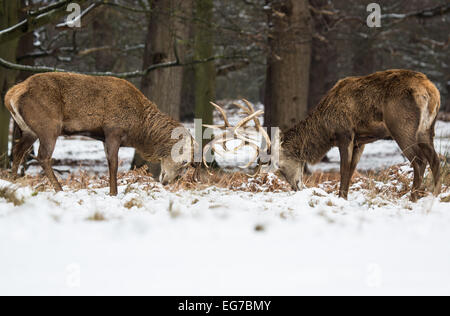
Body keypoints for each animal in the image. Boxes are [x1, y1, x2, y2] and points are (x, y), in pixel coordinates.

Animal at [3, 72, 193, 195]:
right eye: (184, 161)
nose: (168, 182)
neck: (139, 130)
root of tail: (10, 96)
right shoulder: (113, 131)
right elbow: (114, 164)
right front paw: (113, 193)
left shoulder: (103, 137)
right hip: (48, 126)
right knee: (42, 156)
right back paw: (59, 189)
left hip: (29, 130)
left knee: (18, 150)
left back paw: (12, 181)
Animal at [206, 70, 442, 201]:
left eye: (279, 166)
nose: (296, 187)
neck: (324, 129)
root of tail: (431, 91)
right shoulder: (361, 140)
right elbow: (352, 170)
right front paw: (344, 197)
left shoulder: (345, 133)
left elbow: (344, 170)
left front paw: (341, 197)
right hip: (427, 128)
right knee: (435, 158)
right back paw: (435, 193)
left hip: (402, 126)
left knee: (419, 160)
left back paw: (413, 197)